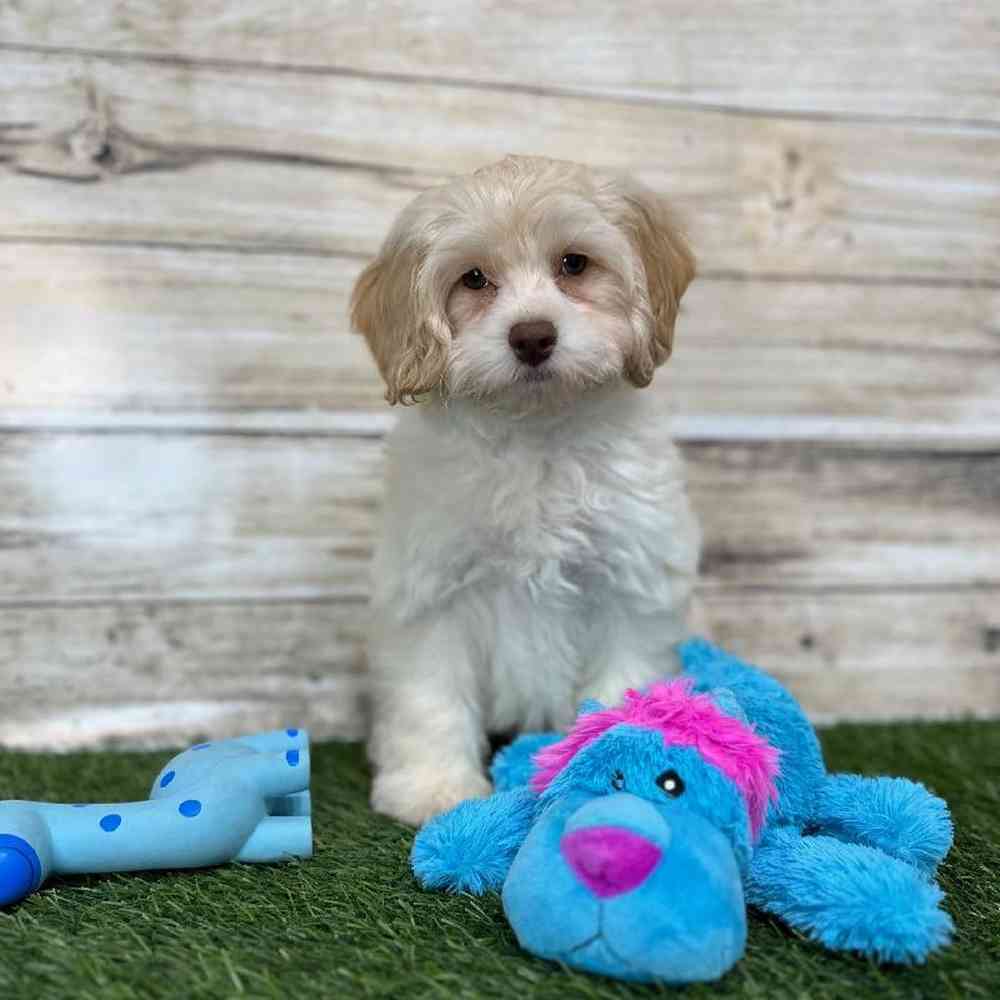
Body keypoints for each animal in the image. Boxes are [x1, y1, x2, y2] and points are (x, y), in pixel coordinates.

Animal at [356, 154, 700, 828]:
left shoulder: (629, 580)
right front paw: (433, 786)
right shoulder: (432, 589)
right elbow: (430, 697)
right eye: (474, 278)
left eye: (574, 264)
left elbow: (621, 677)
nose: (533, 336)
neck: (536, 433)